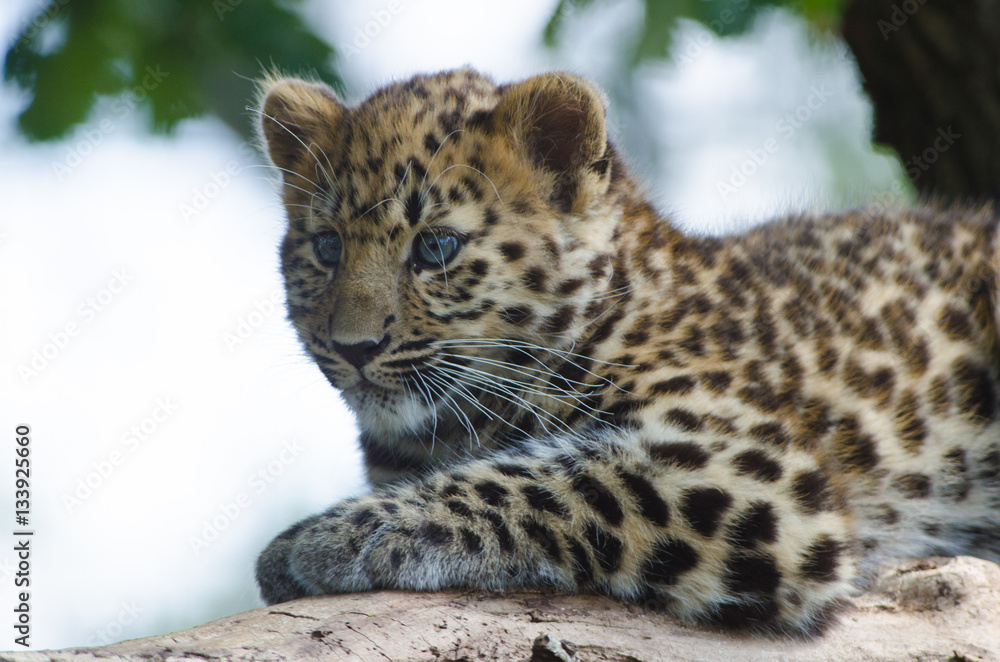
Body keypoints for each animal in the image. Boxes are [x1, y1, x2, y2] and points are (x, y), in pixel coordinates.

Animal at [253, 67, 1000, 634]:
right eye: (327, 248)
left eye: (436, 247)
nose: (353, 347)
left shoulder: (750, 469)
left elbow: (534, 478)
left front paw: (331, 537)